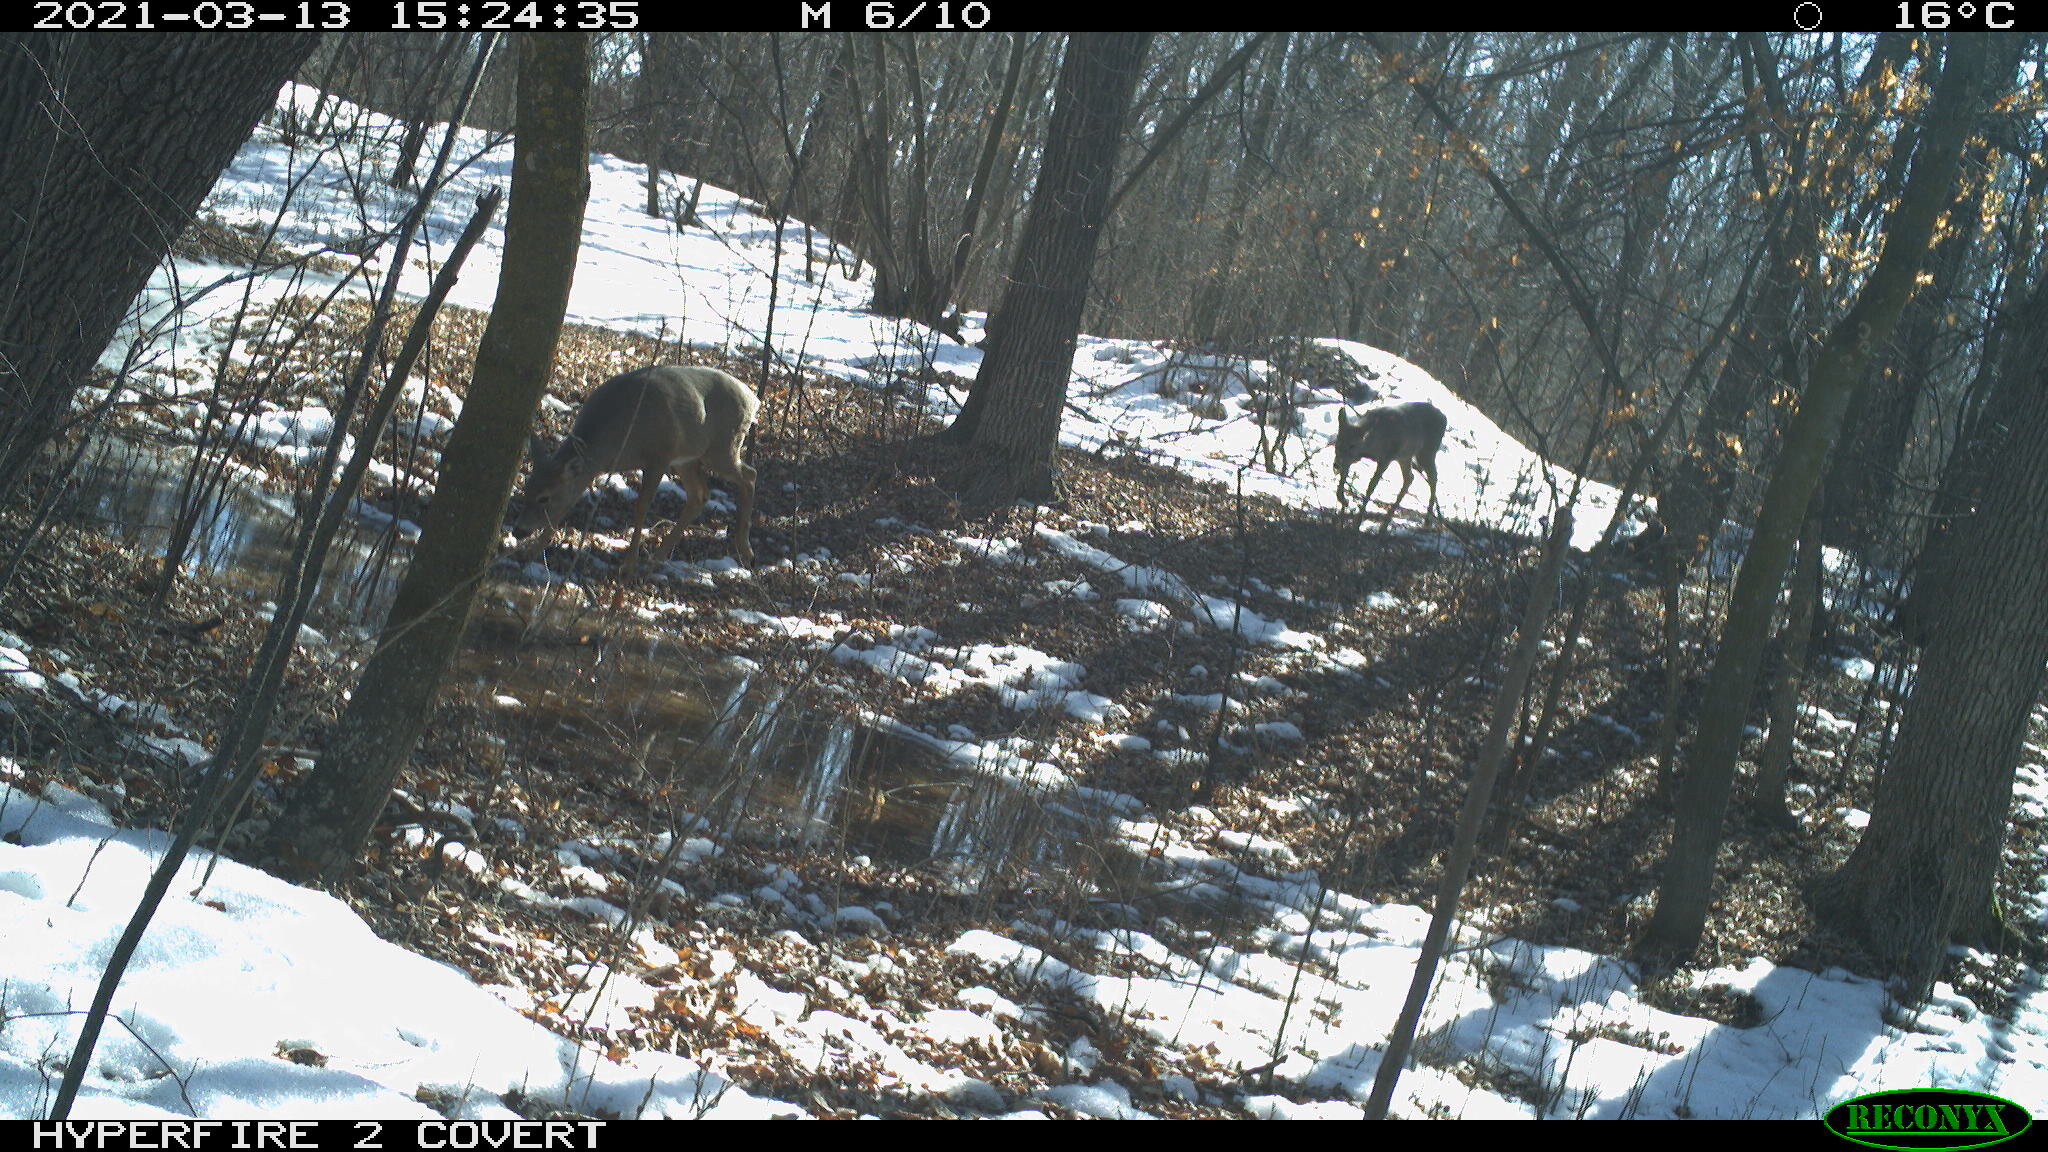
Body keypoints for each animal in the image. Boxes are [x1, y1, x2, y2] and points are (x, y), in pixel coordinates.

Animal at [515, 365, 759, 576]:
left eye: (544, 498)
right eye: (526, 489)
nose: (518, 531)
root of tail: (753, 398)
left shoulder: (659, 457)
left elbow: (641, 507)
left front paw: (628, 565)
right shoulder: (592, 470)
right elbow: (569, 502)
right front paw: (530, 552)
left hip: (721, 447)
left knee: (749, 475)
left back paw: (746, 551)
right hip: (688, 457)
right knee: (700, 494)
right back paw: (657, 559)